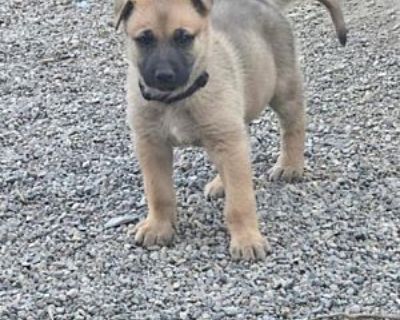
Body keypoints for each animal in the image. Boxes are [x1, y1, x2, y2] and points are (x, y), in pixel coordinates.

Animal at [114, 0, 346, 260]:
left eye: (183, 37)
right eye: (145, 39)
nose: (164, 75)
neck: (176, 99)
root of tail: (266, 3)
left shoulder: (227, 139)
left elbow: (240, 201)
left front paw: (246, 239)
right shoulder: (151, 144)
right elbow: (158, 191)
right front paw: (158, 227)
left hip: (282, 90)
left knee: (293, 126)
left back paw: (290, 166)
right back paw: (220, 183)